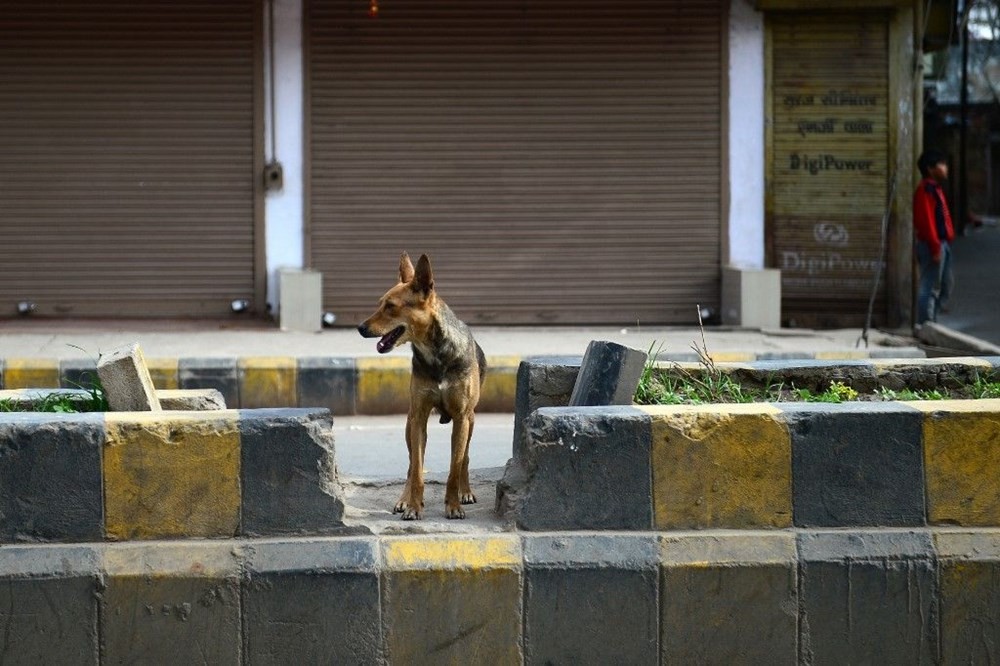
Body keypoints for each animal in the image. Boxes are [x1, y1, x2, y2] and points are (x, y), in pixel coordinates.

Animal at [358, 252, 486, 516]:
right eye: (380, 303)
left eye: (390, 306)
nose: (360, 328)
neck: (435, 353)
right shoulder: (419, 416)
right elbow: (417, 469)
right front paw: (413, 506)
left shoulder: (462, 417)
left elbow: (455, 468)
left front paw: (454, 505)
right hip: (410, 423)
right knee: (411, 463)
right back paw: (404, 499)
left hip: (470, 421)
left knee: (465, 459)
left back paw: (466, 491)